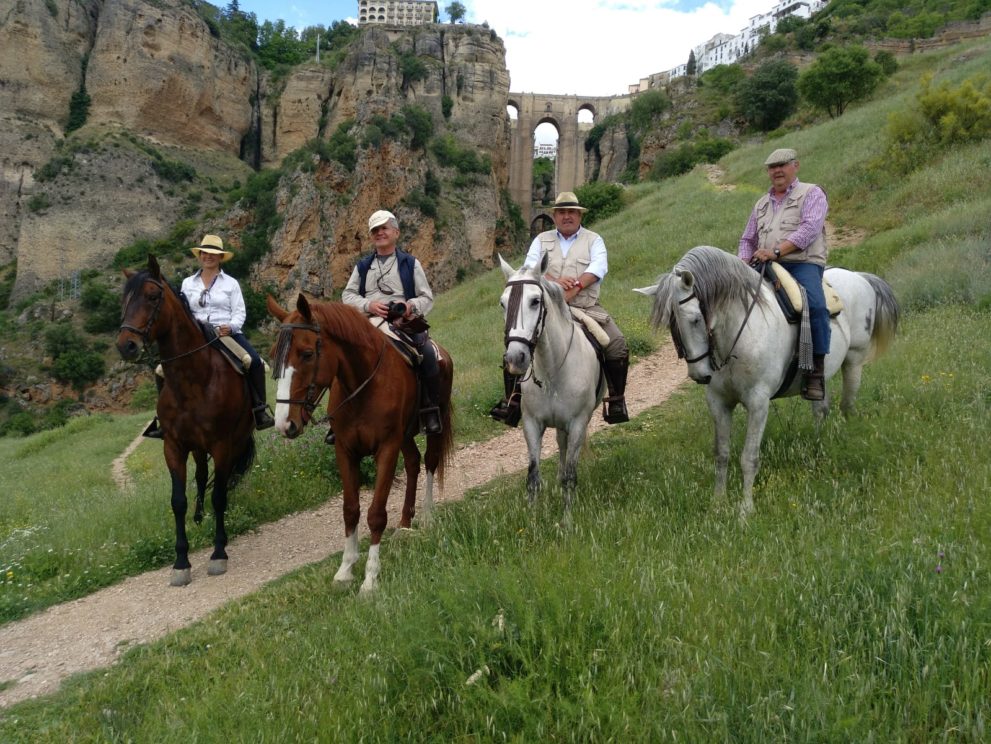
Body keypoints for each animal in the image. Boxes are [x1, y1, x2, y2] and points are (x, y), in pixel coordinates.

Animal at [116, 256, 258, 588]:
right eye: (124, 300)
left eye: (152, 297)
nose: (126, 345)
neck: (194, 379)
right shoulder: (174, 446)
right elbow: (177, 500)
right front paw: (181, 561)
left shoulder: (221, 444)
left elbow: (219, 495)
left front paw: (218, 553)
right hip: (197, 447)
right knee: (201, 475)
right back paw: (198, 515)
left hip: (232, 443)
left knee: (220, 483)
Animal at [268, 294, 454, 596]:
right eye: (274, 357)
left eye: (307, 354)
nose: (285, 424)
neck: (363, 387)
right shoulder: (345, 451)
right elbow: (350, 510)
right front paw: (345, 569)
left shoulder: (387, 449)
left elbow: (375, 514)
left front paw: (370, 578)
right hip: (404, 437)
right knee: (413, 463)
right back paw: (405, 523)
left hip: (432, 424)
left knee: (430, 461)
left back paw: (427, 517)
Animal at [496, 256, 604, 516]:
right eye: (503, 304)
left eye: (535, 301)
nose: (515, 358)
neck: (552, 371)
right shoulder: (531, 424)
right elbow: (533, 476)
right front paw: (533, 518)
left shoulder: (577, 423)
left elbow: (571, 477)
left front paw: (567, 518)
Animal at [636, 247, 900, 520]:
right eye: (671, 324)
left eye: (696, 319)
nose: (699, 375)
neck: (739, 336)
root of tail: (859, 276)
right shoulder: (719, 403)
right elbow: (721, 454)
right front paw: (718, 503)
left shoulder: (758, 403)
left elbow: (749, 457)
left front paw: (745, 510)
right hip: (822, 378)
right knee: (821, 410)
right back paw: (817, 449)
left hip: (854, 361)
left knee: (847, 406)